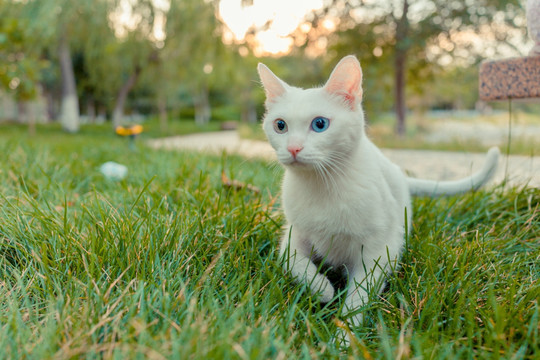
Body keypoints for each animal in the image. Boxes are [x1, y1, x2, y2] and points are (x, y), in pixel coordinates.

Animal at [255, 54, 500, 344]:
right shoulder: (292, 238)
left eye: (320, 124)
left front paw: (343, 339)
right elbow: (295, 264)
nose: (293, 148)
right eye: (280, 125)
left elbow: (358, 298)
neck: (322, 186)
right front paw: (324, 289)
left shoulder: (378, 252)